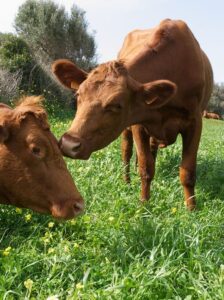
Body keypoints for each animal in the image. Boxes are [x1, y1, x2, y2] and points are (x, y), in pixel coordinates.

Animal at [51, 19, 213, 211]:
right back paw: (127, 181)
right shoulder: (138, 123)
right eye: (78, 95)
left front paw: (191, 208)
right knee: (126, 152)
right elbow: (146, 167)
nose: (69, 144)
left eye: (116, 105)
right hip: (127, 131)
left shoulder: (195, 122)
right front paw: (144, 203)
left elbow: (187, 171)